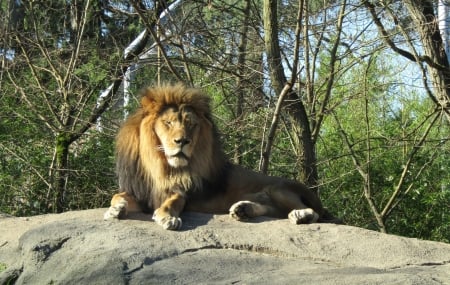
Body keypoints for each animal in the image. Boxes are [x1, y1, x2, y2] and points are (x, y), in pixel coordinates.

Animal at [104, 82, 338, 229]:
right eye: (168, 123)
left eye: (191, 124)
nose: (183, 141)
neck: (161, 167)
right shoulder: (139, 191)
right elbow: (117, 195)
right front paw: (115, 209)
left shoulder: (183, 193)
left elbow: (173, 202)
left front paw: (167, 218)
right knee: (272, 210)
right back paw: (243, 209)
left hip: (278, 188)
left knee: (315, 213)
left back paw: (300, 215)